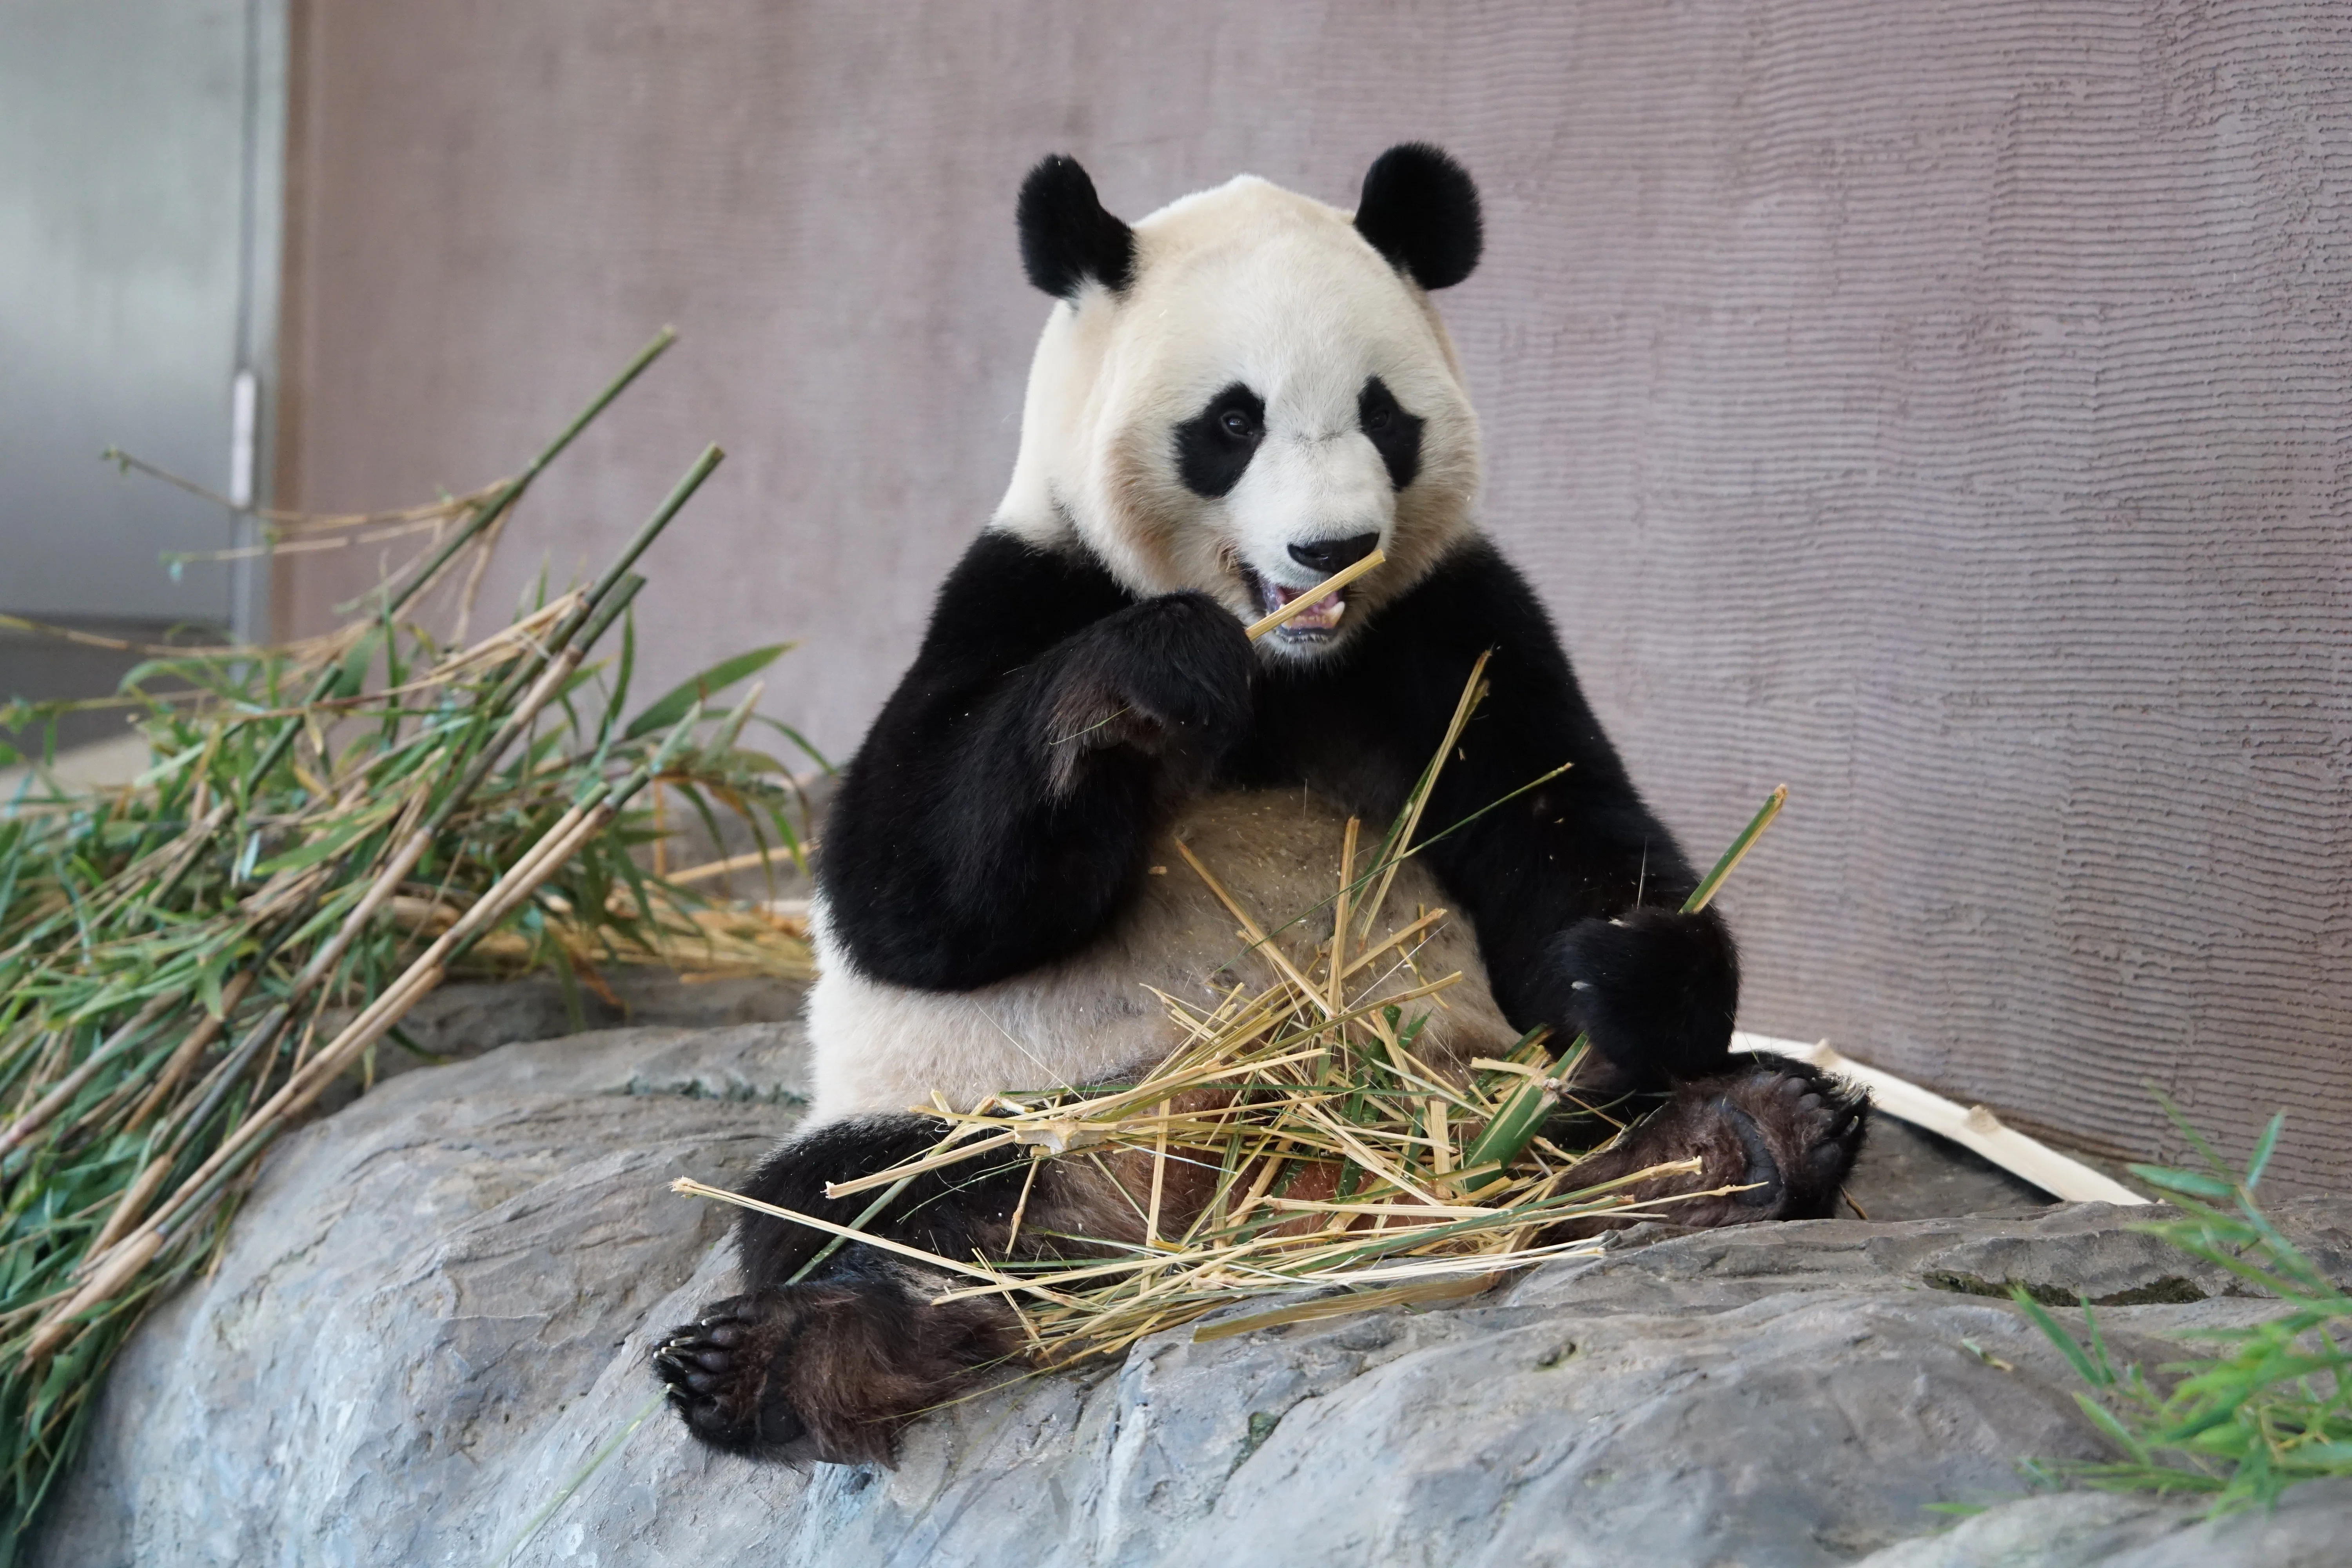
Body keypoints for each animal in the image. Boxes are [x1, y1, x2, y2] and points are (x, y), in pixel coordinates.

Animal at [655, 144, 1868, 1466]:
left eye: (1383, 413)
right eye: (1231, 423)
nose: (1331, 546)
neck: (1290, 661)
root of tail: (1251, 1200)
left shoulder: (1459, 628)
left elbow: (1563, 827)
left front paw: (1625, 971)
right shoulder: (1023, 587)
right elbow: (907, 892)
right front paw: (1153, 676)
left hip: (1464, 1078)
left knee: (1577, 1119)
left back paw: (1738, 1136)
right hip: (1012, 1106)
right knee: (862, 1200)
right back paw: (784, 1358)